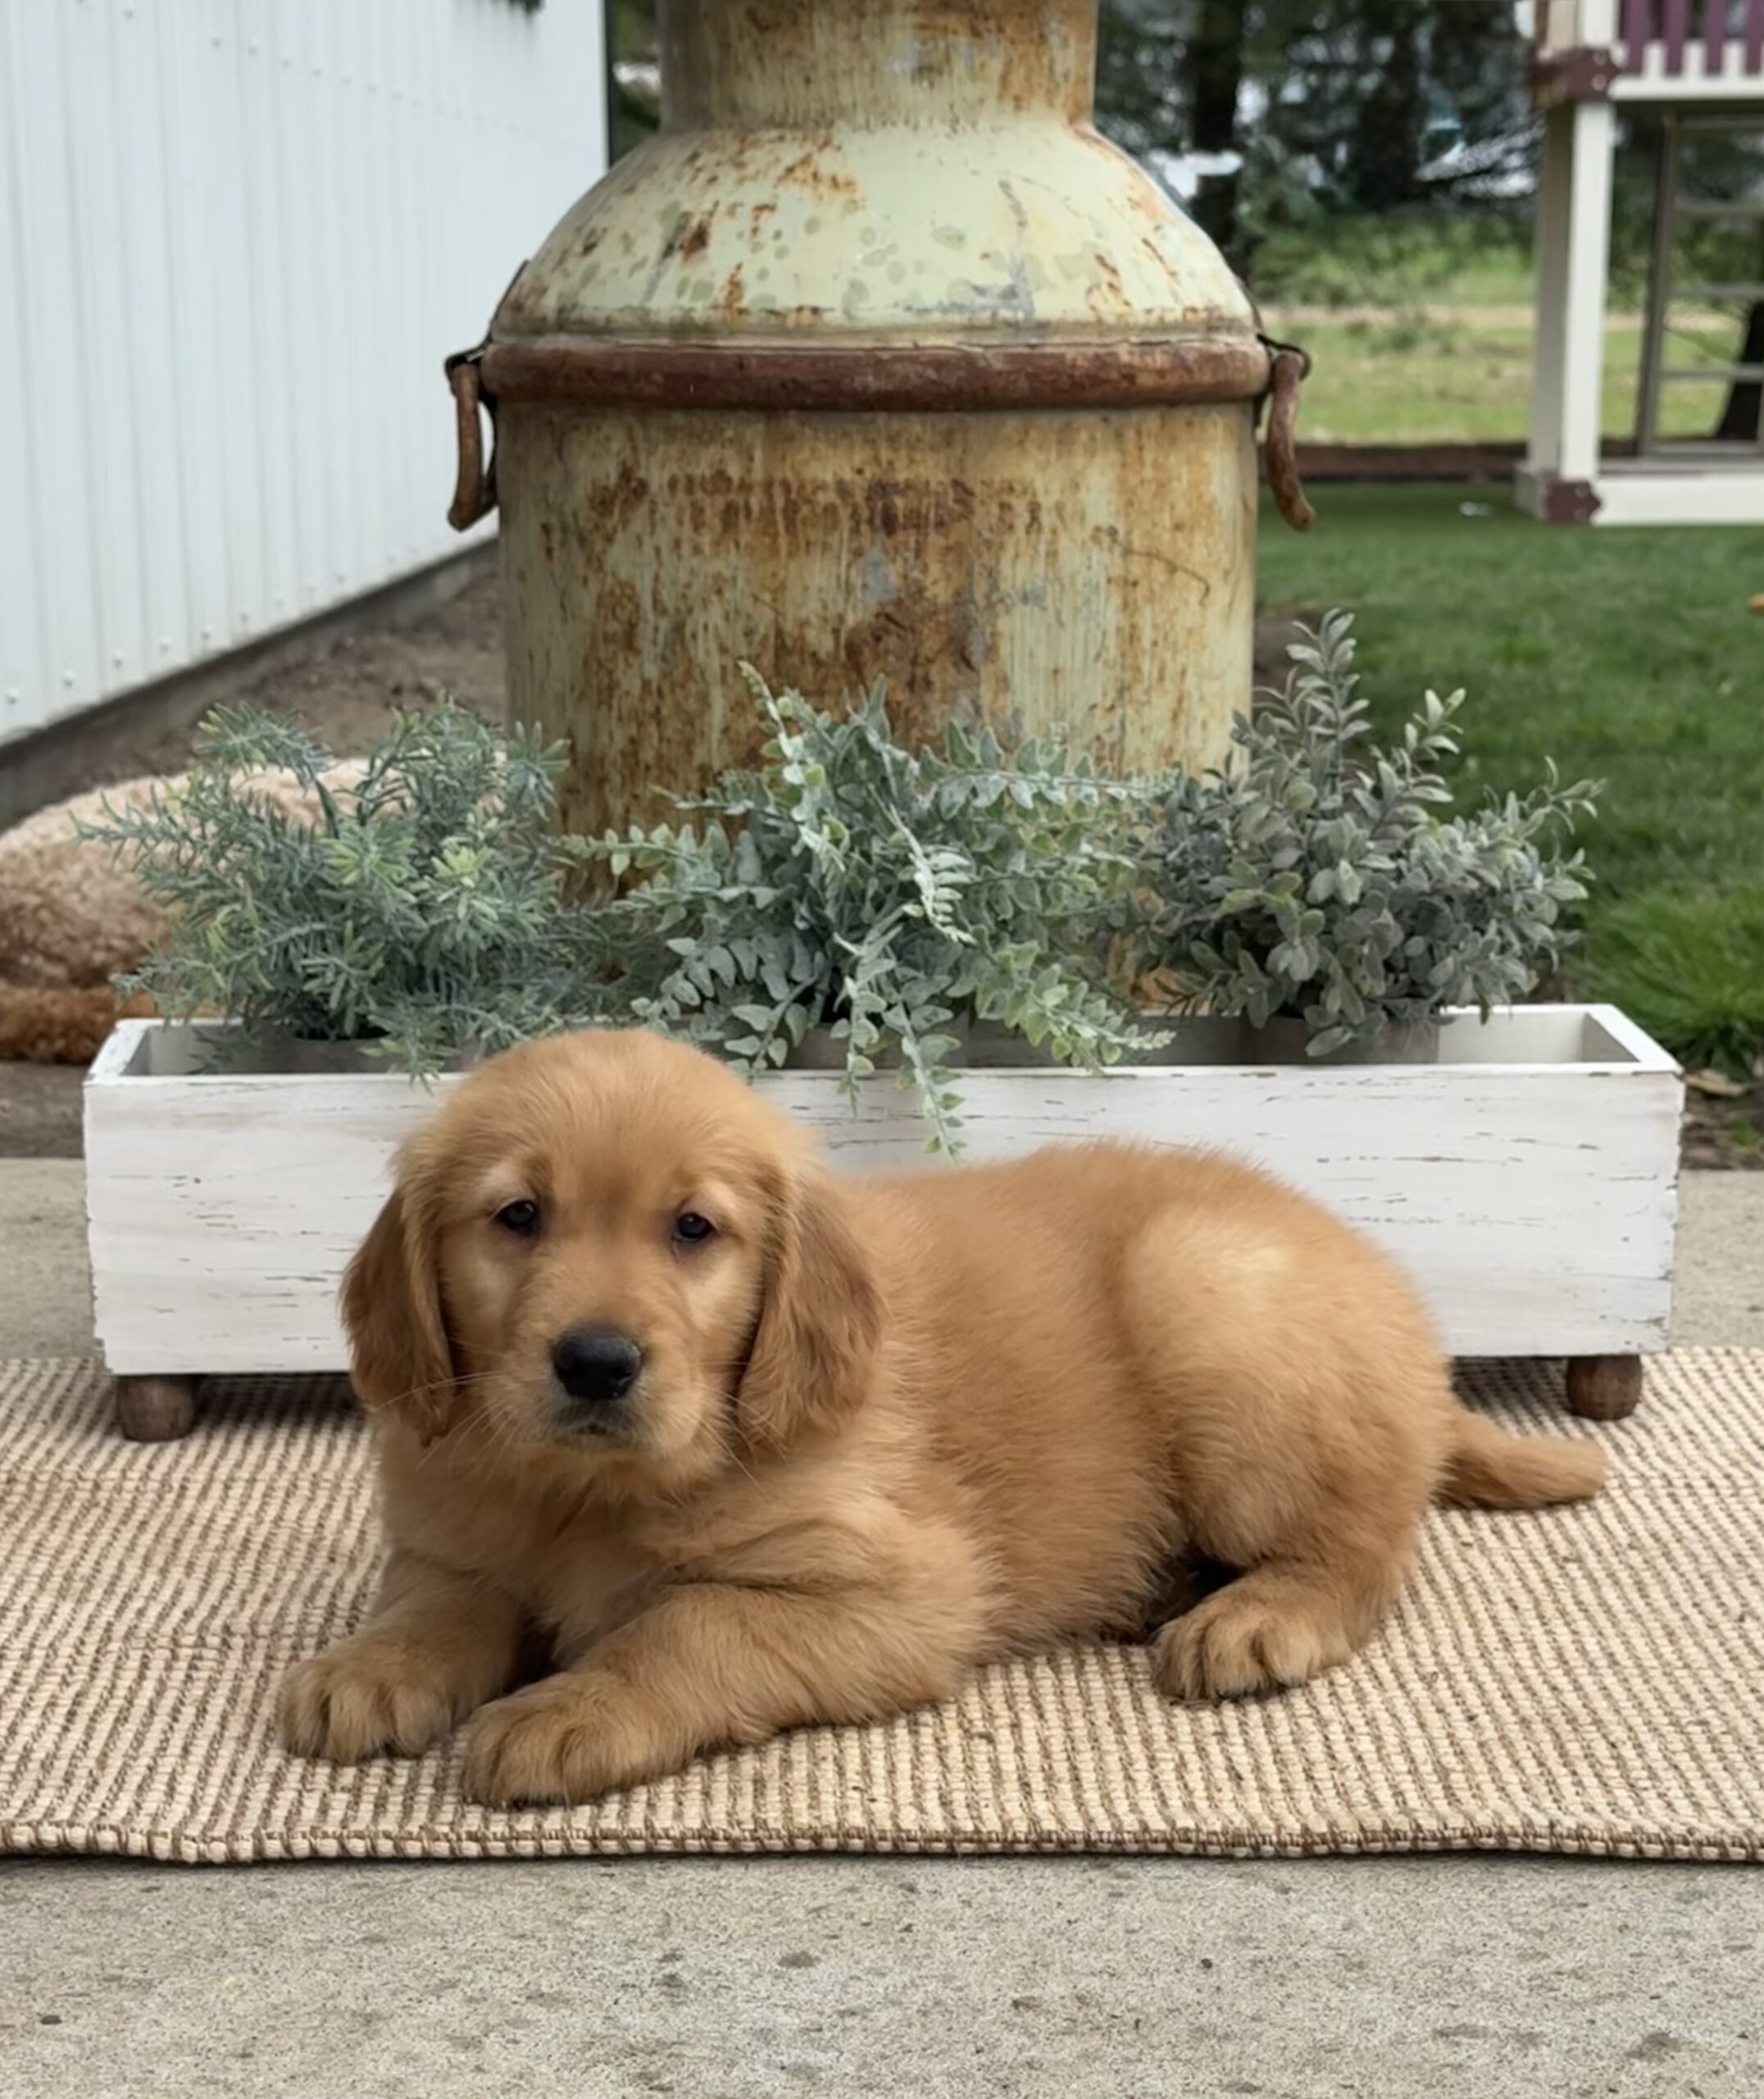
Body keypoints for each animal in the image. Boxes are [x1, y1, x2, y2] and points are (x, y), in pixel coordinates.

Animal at [281, 1027, 1608, 1806]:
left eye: (693, 1230)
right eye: (517, 1218)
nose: (597, 1363)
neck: (590, 1493)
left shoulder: (901, 1592)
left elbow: (687, 1624)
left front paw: (572, 1707)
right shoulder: (448, 1532)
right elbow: (438, 1601)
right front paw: (369, 1666)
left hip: (1206, 1289)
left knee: (1369, 1545)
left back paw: (1256, 1613)